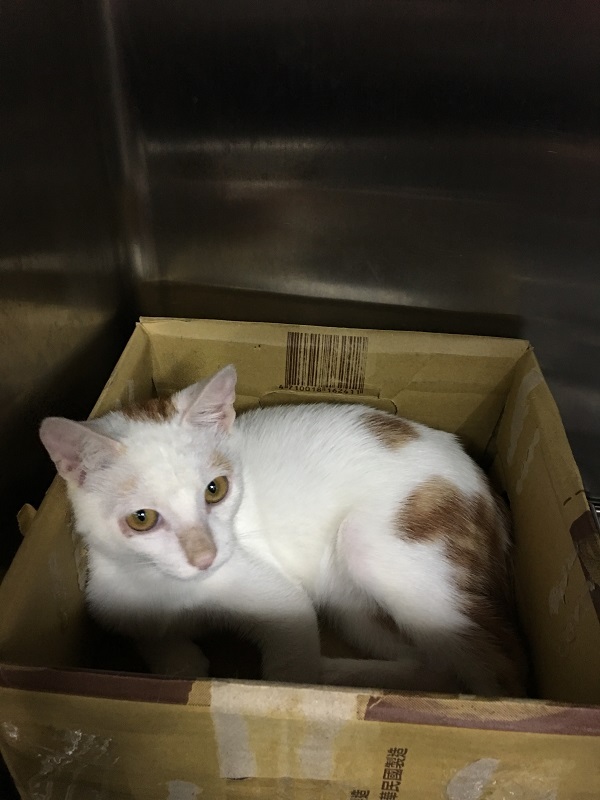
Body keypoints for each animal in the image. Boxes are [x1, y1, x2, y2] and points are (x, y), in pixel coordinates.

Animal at [39, 365, 526, 696]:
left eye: (215, 490)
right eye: (142, 519)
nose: (205, 557)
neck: (170, 586)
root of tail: (485, 485)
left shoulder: (277, 596)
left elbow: (288, 664)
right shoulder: (113, 599)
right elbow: (152, 638)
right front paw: (181, 661)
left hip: (378, 547)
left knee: (496, 664)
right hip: (350, 601)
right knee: (433, 664)